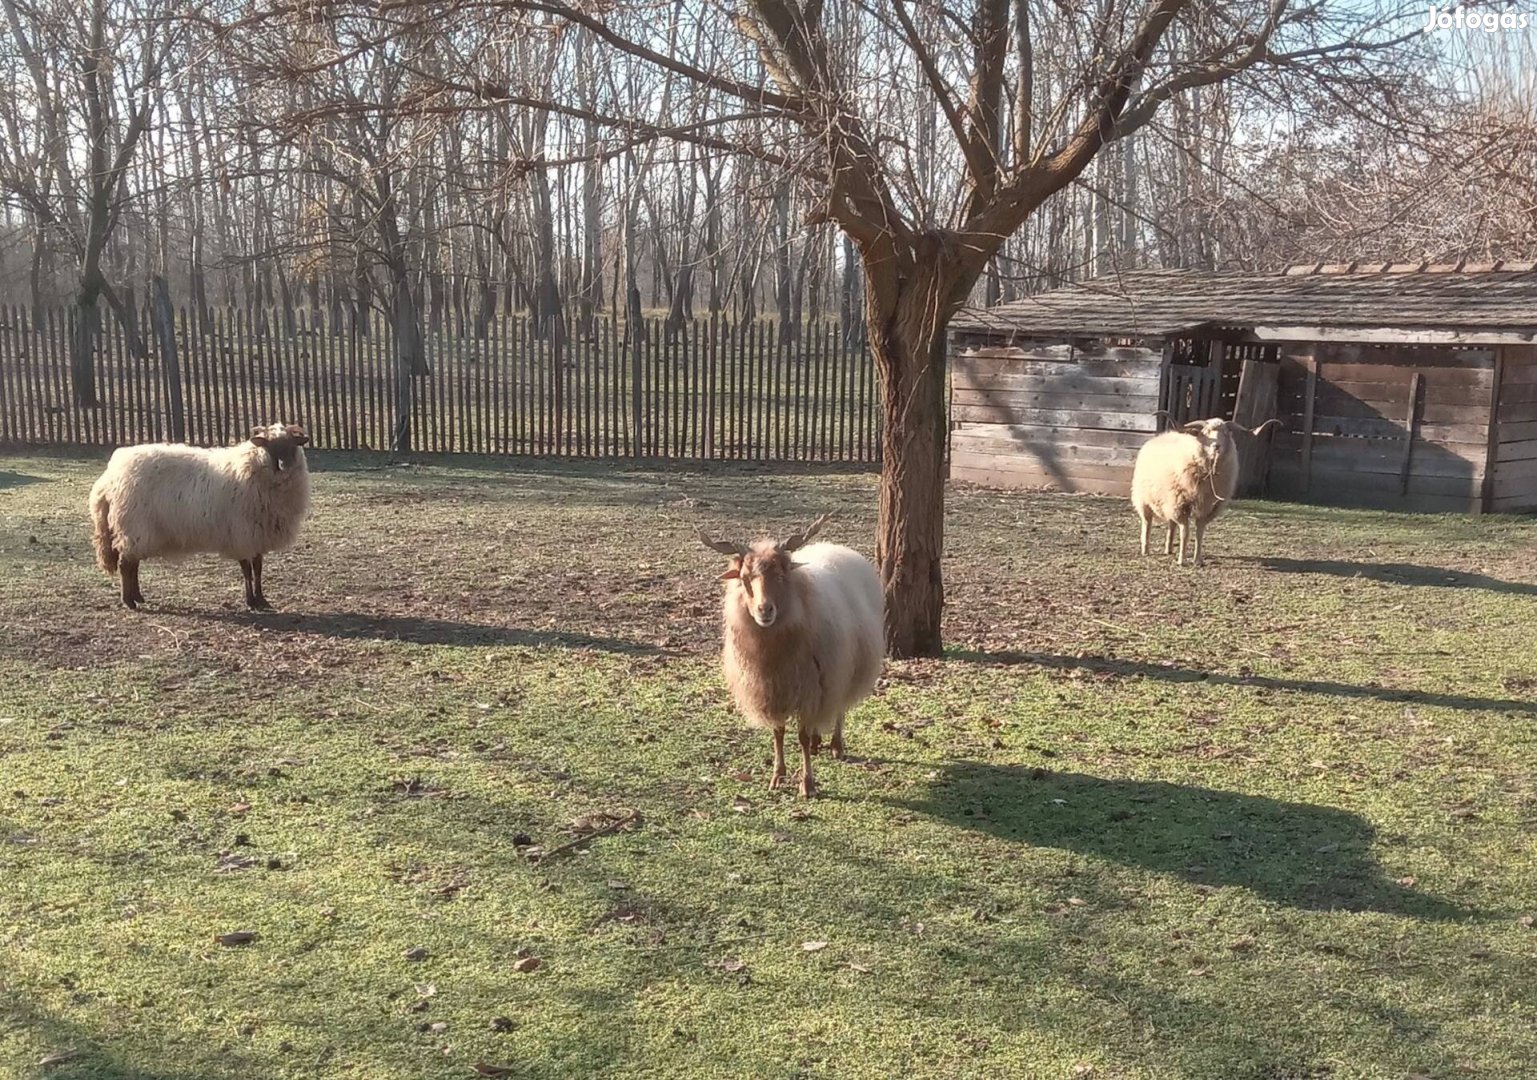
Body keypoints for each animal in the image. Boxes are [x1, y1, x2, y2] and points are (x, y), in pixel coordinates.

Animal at [89, 420, 312, 608]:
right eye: (269, 445)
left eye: (292, 444)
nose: (284, 465)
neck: (253, 467)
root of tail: (110, 478)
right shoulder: (240, 533)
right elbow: (247, 570)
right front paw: (251, 601)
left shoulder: (257, 534)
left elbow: (258, 569)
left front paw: (262, 599)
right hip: (133, 526)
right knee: (126, 565)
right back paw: (129, 602)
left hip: (137, 531)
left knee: (133, 564)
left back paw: (138, 597)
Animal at [700, 516, 885, 805]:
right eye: (745, 578)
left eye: (780, 575)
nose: (765, 610)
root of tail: (835, 546)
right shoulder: (773, 690)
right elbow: (778, 733)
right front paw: (778, 776)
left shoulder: (810, 687)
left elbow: (801, 737)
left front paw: (807, 783)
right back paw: (820, 742)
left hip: (843, 671)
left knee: (839, 707)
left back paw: (836, 745)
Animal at [1131, 414, 1284, 571]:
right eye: (1205, 432)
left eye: (1226, 433)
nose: (1216, 446)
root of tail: (1161, 435)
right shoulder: (1181, 506)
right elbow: (1185, 533)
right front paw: (1181, 561)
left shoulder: (1206, 508)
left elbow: (1199, 534)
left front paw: (1198, 560)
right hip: (1144, 499)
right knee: (1147, 523)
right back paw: (1146, 549)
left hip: (1168, 503)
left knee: (1171, 524)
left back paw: (1169, 549)